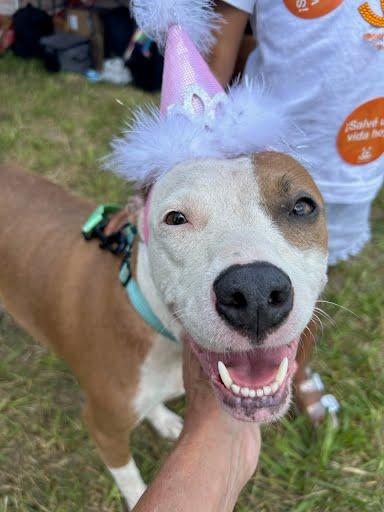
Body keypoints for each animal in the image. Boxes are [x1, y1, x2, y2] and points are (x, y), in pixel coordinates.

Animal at [1, 151, 328, 508]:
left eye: (302, 207)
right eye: (176, 218)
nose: (255, 292)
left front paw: (162, 419)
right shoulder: (104, 428)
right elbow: (129, 476)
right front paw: (136, 494)